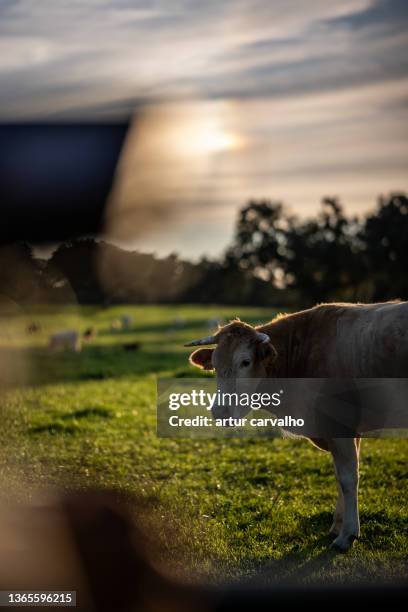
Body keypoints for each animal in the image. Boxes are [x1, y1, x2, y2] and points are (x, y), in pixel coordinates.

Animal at [186, 304, 408, 552]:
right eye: (214, 365)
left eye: (245, 362)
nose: (220, 412)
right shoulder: (347, 431)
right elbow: (341, 476)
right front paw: (337, 525)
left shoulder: (340, 424)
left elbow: (348, 478)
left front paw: (347, 534)